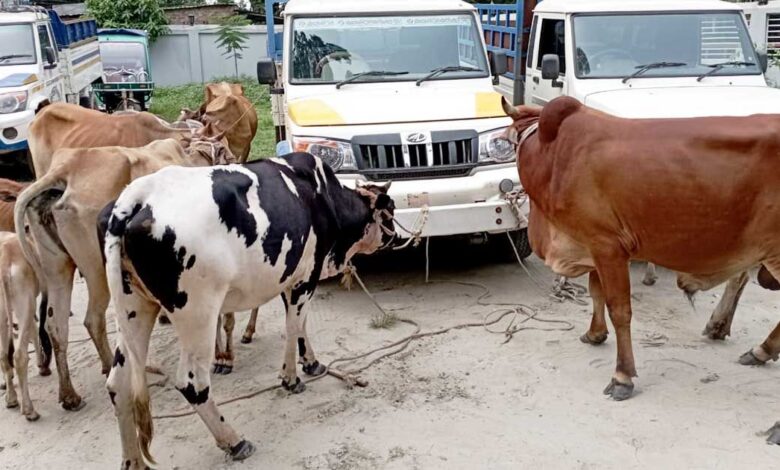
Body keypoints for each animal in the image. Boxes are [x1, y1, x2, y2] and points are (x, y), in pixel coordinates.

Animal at [14, 137, 233, 411]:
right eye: (226, 154)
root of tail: (64, 170)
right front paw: (222, 357)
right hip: (98, 269)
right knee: (93, 319)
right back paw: (110, 368)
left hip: (57, 268)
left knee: (56, 324)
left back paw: (69, 395)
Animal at [100, 153, 394, 467]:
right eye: (389, 210)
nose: (394, 235)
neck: (322, 194)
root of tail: (137, 197)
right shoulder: (306, 276)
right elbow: (294, 326)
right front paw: (291, 378)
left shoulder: (289, 278)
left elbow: (300, 325)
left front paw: (311, 362)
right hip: (198, 314)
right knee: (192, 383)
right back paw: (234, 441)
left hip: (133, 310)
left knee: (118, 384)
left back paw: (133, 460)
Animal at [502, 96, 780, 445]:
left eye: (508, 142)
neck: (554, 150)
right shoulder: (595, 246)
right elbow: (596, 293)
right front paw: (594, 334)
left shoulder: (606, 244)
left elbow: (619, 309)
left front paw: (622, 377)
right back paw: (755, 349)